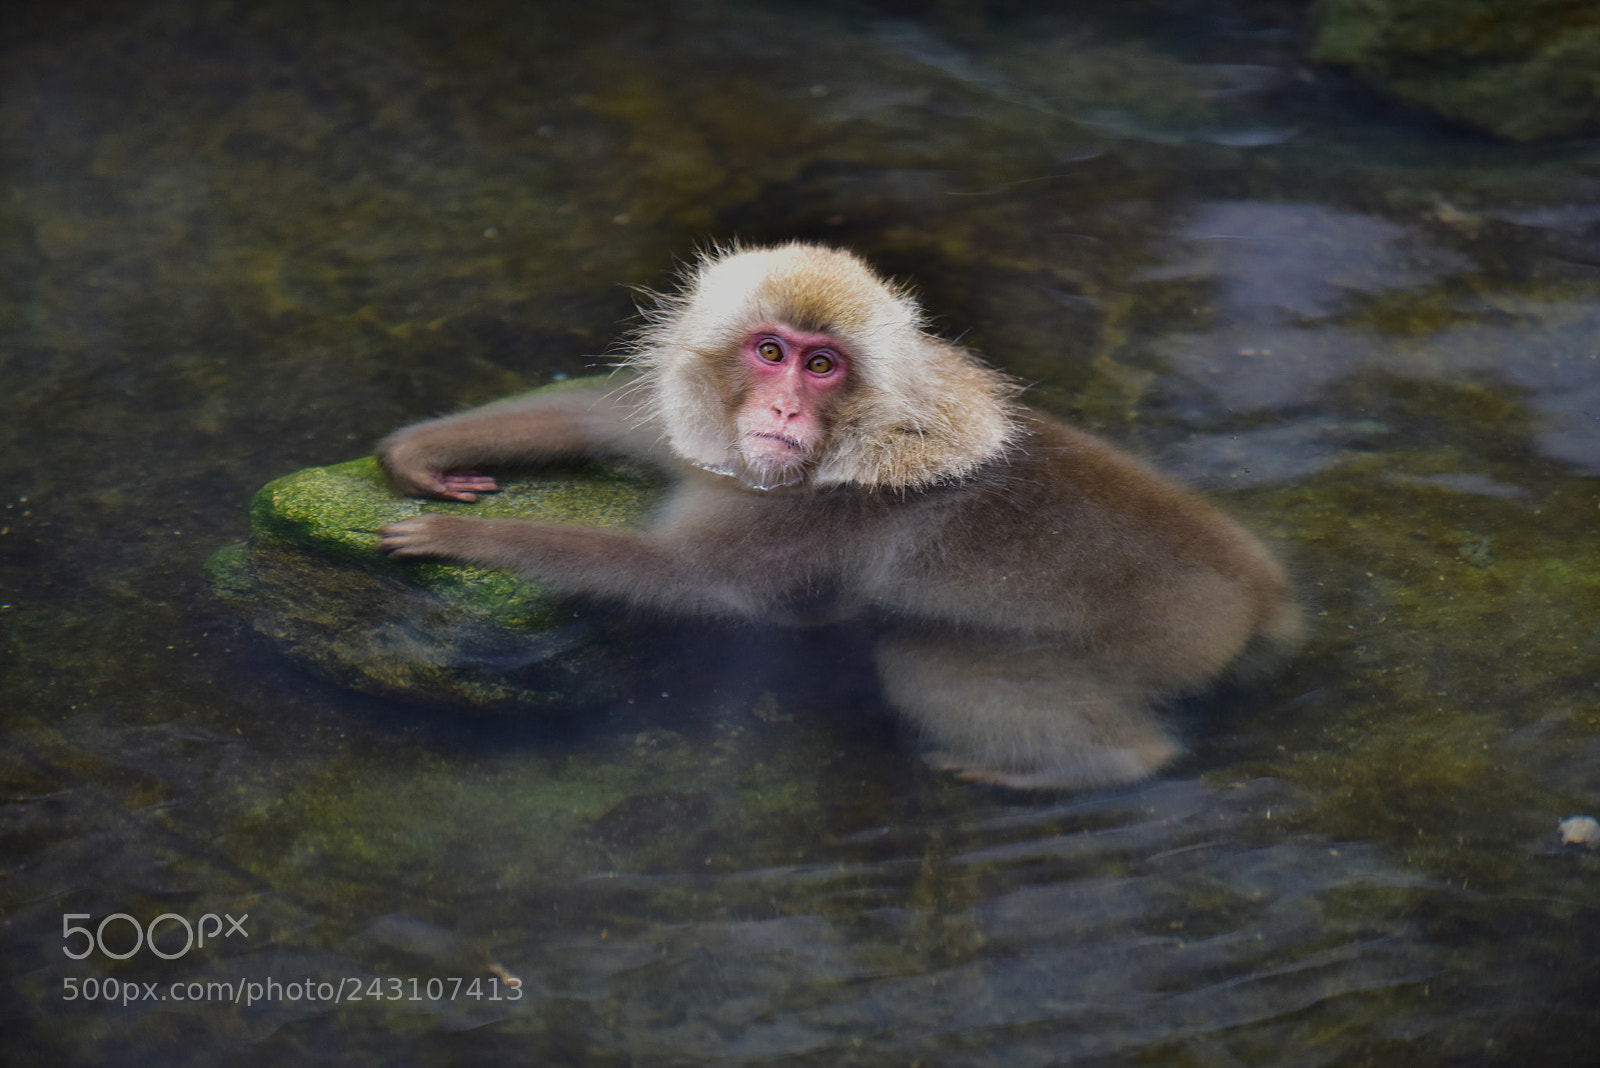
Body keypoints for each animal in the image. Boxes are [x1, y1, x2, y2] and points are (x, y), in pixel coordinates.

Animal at [378, 242, 1300, 790]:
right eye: (771, 353)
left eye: (822, 367)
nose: (784, 412)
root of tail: (1258, 598)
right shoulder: (719, 448)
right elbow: (606, 416)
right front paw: (420, 452)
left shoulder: (812, 518)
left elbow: (696, 582)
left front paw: (470, 539)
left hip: (1153, 643)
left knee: (935, 661)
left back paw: (1070, 767)